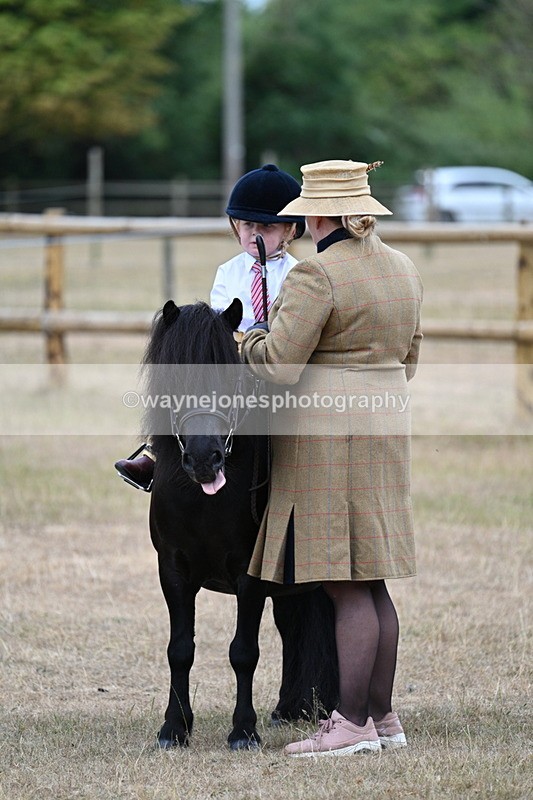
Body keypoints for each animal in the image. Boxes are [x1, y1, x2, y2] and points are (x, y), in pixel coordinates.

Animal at [142, 298, 338, 750]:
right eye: (174, 376)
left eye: (230, 378)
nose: (203, 459)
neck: (205, 500)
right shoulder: (172, 571)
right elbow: (180, 649)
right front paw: (174, 728)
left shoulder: (251, 574)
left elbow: (243, 652)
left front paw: (243, 731)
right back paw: (293, 707)